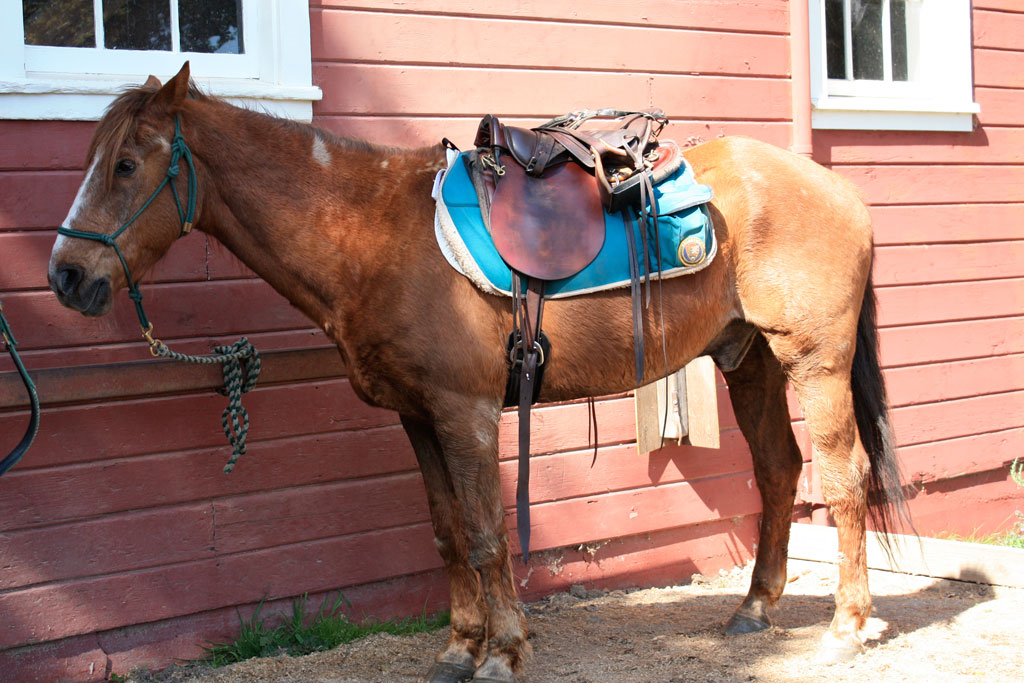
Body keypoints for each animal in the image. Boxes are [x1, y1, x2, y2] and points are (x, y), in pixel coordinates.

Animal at [48, 63, 908, 682]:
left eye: (126, 165)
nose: (66, 276)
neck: (375, 236)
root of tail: (838, 188)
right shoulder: (417, 416)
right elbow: (448, 533)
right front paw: (460, 646)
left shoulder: (466, 412)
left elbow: (490, 533)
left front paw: (504, 650)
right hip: (751, 360)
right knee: (778, 469)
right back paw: (756, 608)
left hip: (815, 360)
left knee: (843, 478)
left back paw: (845, 627)